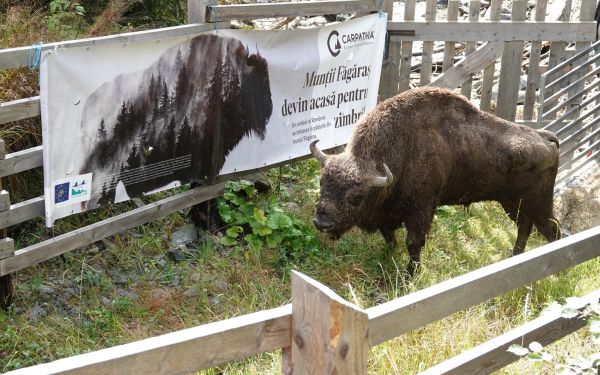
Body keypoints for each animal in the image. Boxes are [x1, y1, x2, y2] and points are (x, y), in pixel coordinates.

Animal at [312, 87, 560, 276]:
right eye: (322, 184)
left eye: (357, 196)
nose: (321, 223)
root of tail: (545, 137)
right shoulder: (387, 214)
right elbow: (389, 237)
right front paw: (388, 256)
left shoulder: (421, 209)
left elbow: (413, 243)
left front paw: (410, 274)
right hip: (512, 203)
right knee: (524, 227)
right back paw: (514, 257)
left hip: (538, 205)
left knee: (552, 230)